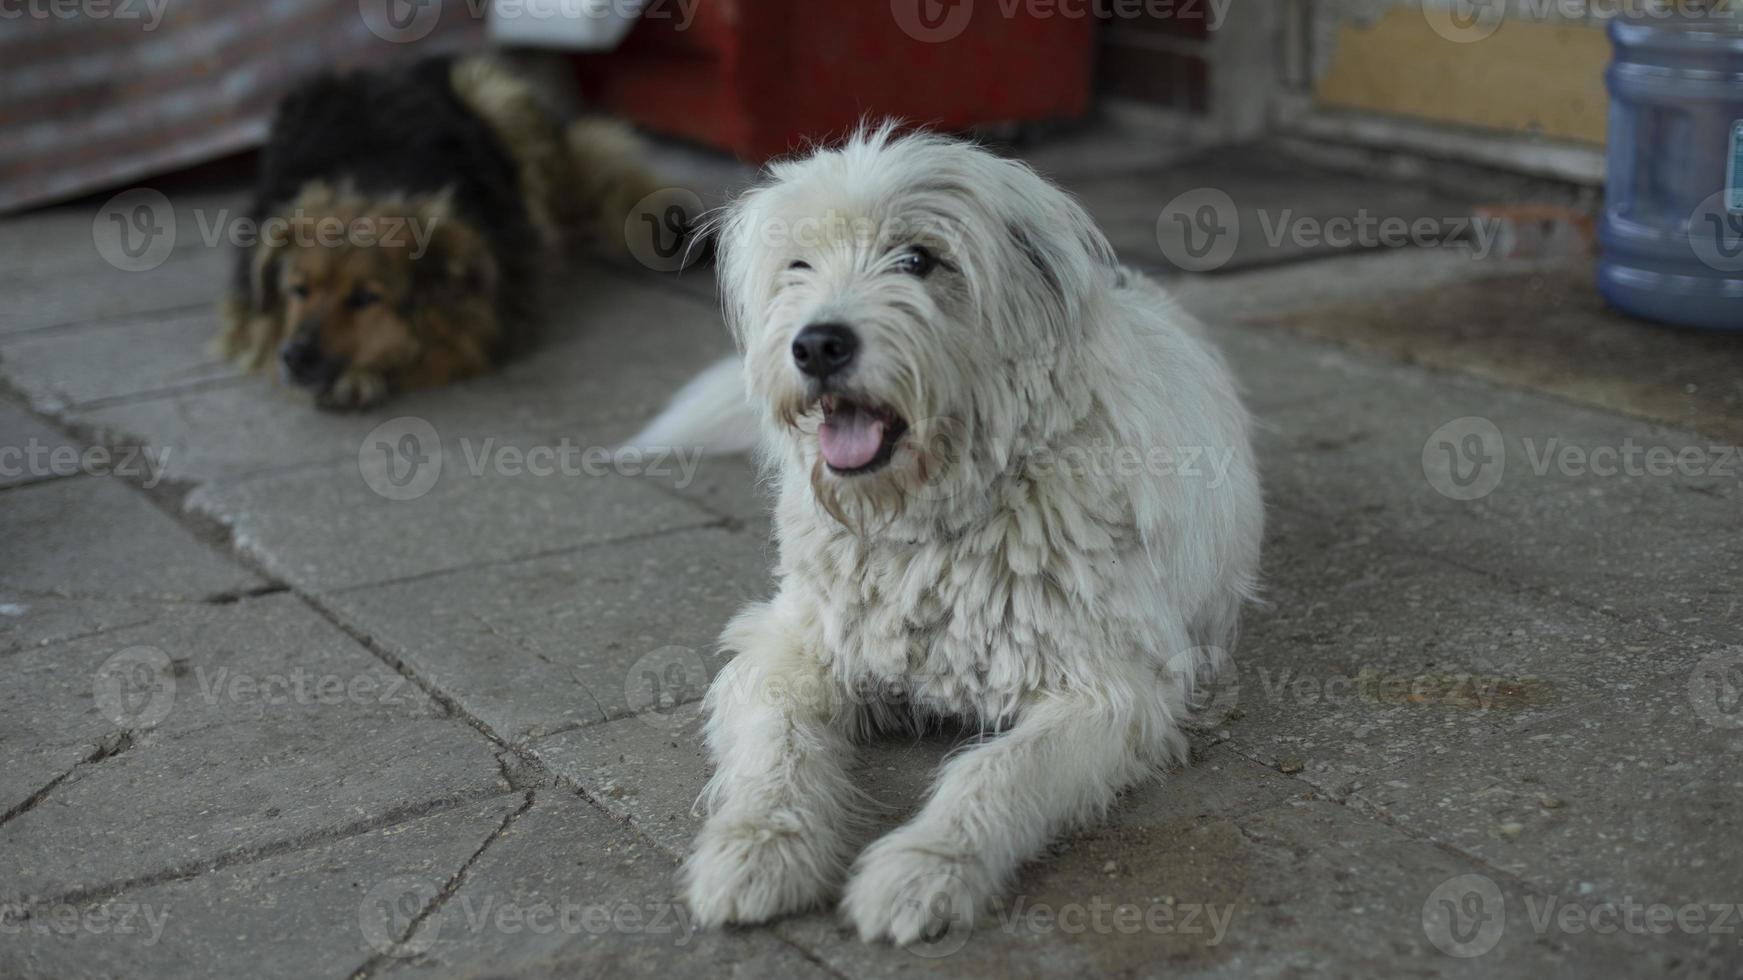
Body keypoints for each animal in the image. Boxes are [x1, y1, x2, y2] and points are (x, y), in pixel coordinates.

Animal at [221, 57, 662, 408]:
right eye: (299, 290)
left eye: (365, 298)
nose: (294, 357)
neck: (370, 180)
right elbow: (262, 331)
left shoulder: (489, 311)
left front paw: (361, 376)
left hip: (494, 94)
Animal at [634, 125, 1261, 941]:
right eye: (798, 266)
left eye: (918, 259)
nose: (817, 345)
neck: (934, 522)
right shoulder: (789, 644)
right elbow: (780, 743)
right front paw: (759, 847)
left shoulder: (1107, 690)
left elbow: (997, 770)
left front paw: (925, 866)